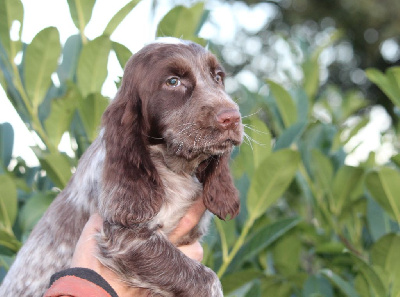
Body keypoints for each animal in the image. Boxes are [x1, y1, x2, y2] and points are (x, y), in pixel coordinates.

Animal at [0, 39, 242, 296]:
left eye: (218, 77)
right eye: (172, 82)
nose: (232, 118)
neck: (176, 168)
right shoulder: (126, 237)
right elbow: (208, 279)